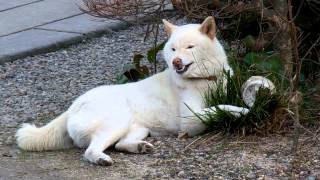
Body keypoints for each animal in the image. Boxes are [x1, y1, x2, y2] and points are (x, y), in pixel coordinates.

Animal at [16, 16, 252, 166]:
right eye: (173, 49)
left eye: (190, 47)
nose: (175, 61)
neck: (204, 79)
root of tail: (72, 106)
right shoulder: (190, 119)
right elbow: (221, 106)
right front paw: (242, 111)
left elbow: (230, 98)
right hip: (116, 122)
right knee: (91, 150)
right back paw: (101, 159)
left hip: (139, 128)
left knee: (121, 144)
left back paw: (139, 148)